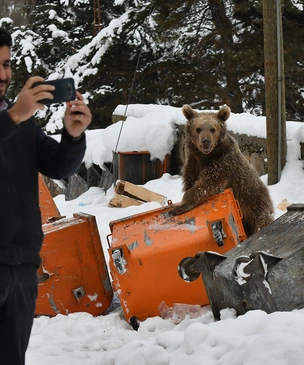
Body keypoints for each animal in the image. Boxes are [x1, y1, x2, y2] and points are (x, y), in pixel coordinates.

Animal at [170, 104, 274, 237]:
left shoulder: (222, 164)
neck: (205, 156)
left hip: (254, 204)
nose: (206, 141)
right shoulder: (192, 165)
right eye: (198, 129)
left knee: (260, 222)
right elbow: (191, 183)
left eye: (212, 129)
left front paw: (177, 208)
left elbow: (205, 185)